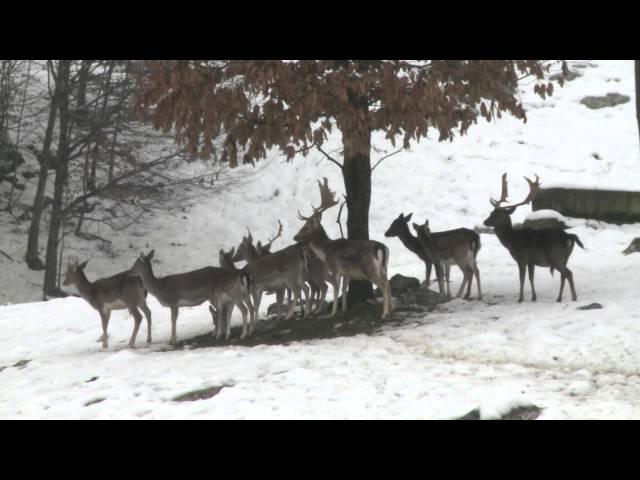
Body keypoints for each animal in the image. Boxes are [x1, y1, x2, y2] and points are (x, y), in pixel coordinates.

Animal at [294, 178, 392, 316]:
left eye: (307, 227)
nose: (295, 237)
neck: (325, 252)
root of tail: (381, 248)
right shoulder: (346, 273)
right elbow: (344, 288)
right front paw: (344, 309)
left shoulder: (335, 269)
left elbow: (336, 289)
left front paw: (333, 313)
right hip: (384, 267)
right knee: (388, 284)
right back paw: (392, 309)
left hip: (370, 269)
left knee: (384, 286)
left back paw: (384, 314)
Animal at [484, 172, 584, 302]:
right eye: (491, 213)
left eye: (498, 215)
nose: (485, 222)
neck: (512, 240)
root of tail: (569, 236)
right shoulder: (531, 261)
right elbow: (531, 278)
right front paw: (533, 297)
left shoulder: (521, 258)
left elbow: (522, 278)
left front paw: (520, 298)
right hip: (565, 258)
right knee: (563, 275)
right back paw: (559, 298)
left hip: (556, 256)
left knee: (568, 273)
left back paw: (574, 297)